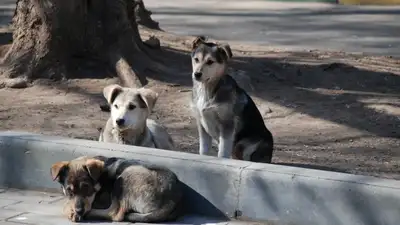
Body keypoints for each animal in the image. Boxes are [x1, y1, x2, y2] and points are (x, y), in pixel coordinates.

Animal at [48, 156, 184, 223]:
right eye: (69, 191)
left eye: (87, 188)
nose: (79, 211)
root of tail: (172, 200)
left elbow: (65, 205)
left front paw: (72, 211)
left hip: (126, 175)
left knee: (115, 213)